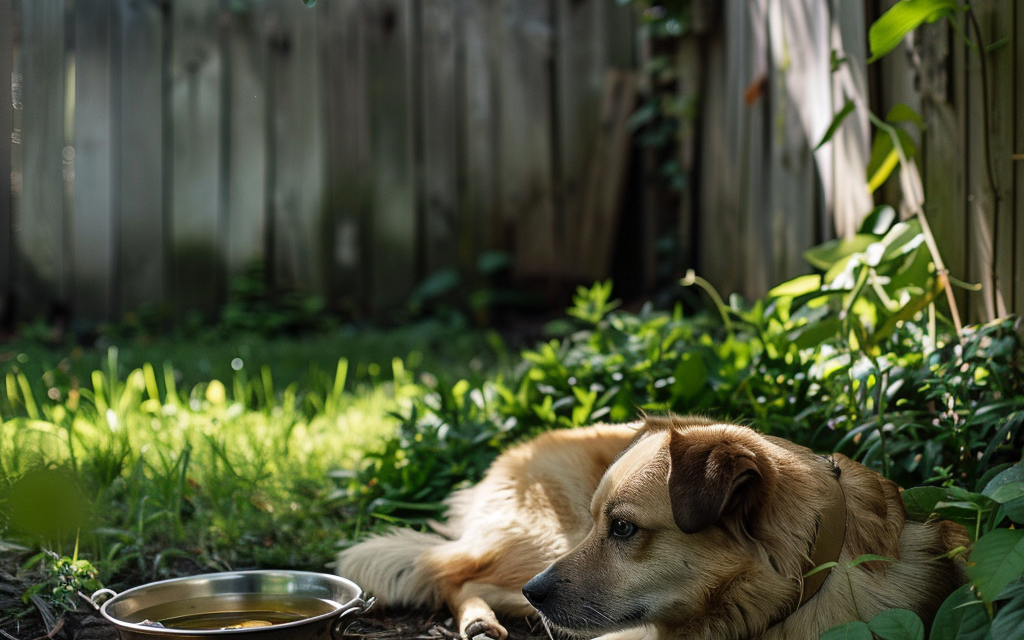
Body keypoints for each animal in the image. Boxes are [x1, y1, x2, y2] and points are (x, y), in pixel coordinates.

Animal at [337, 417, 966, 638]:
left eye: (622, 529)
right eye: (605, 524)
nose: (539, 594)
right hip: (544, 545)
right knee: (452, 576)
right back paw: (477, 622)